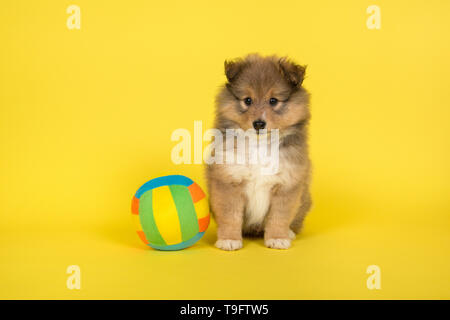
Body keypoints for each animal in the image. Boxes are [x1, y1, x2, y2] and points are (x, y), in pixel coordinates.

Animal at [206, 54, 312, 250]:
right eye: (248, 100)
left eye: (273, 101)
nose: (258, 124)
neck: (259, 145)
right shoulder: (229, 180)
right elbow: (230, 217)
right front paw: (229, 240)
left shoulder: (286, 184)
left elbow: (279, 217)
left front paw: (277, 238)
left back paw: (289, 233)